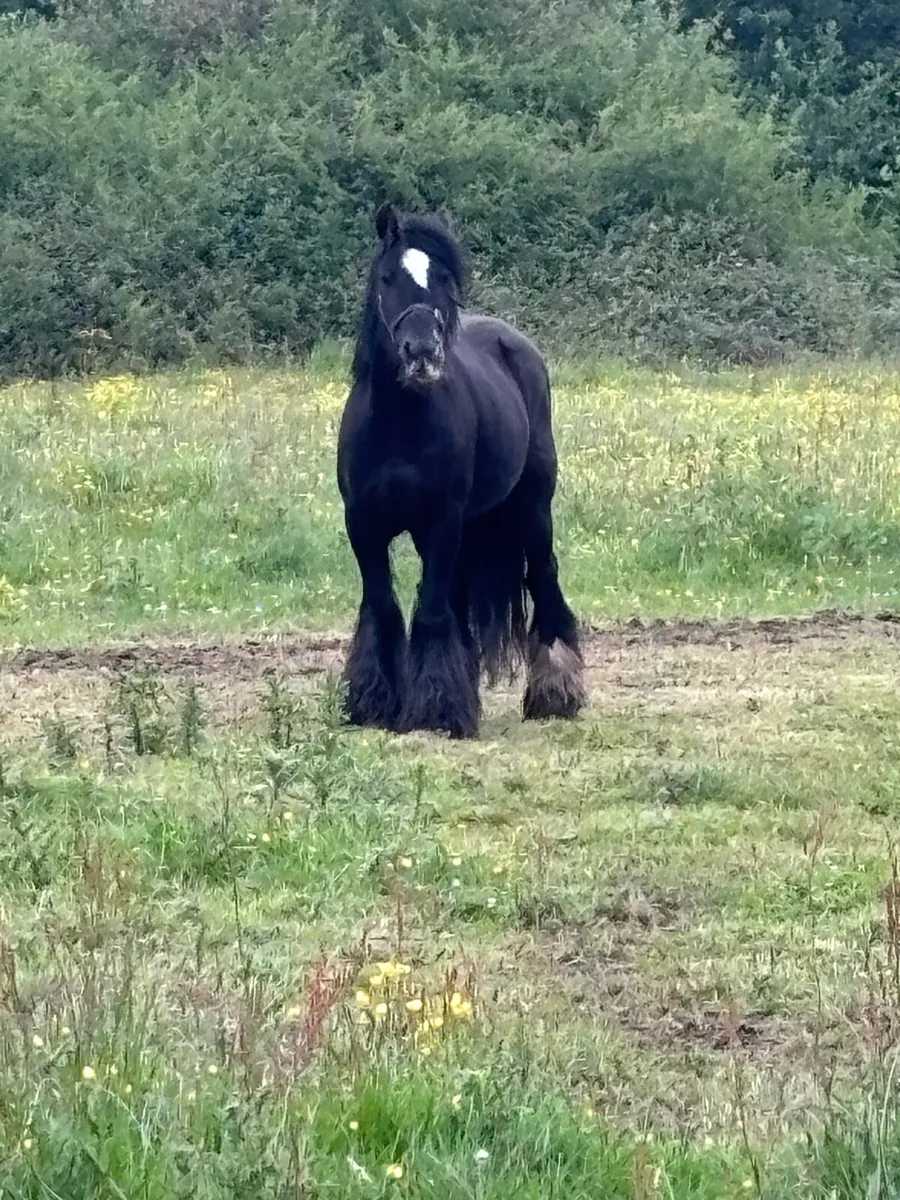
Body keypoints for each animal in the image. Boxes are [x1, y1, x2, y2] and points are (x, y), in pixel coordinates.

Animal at [336, 202, 586, 739]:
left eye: (443, 280)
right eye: (388, 277)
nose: (422, 353)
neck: (398, 423)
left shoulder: (441, 521)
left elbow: (431, 613)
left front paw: (436, 710)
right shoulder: (363, 525)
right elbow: (385, 608)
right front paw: (375, 702)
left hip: (533, 507)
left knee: (544, 579)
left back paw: (556, 691)